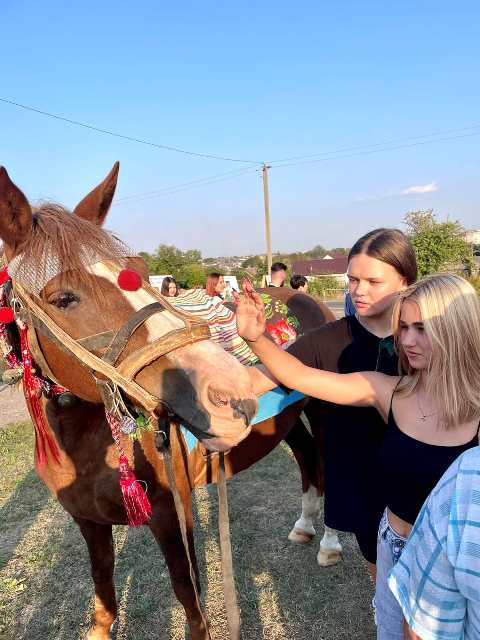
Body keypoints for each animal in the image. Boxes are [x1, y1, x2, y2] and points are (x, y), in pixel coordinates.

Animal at [0, 163, 259, 640]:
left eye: (138, 269)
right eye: (64, 298)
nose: (231, 392)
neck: (85, 452)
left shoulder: (171, 513)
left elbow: (190, 600)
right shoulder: (88, 523)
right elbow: (104, 594)